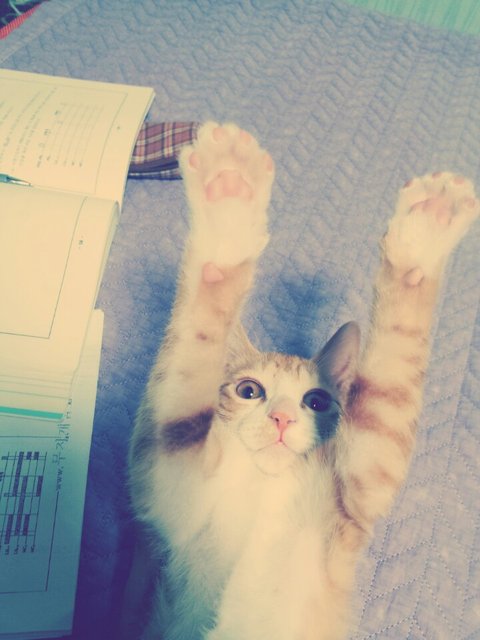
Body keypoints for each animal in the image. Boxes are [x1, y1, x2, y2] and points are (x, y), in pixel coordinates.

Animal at [123, 122, 478, 640]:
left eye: (316, 401)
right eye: (249, 391)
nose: (283, 418)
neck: (266, 480)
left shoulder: (360, 480)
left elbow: (392, 369)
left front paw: (424, 233)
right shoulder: (172, 483)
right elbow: (189, 365)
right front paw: (228, 212)